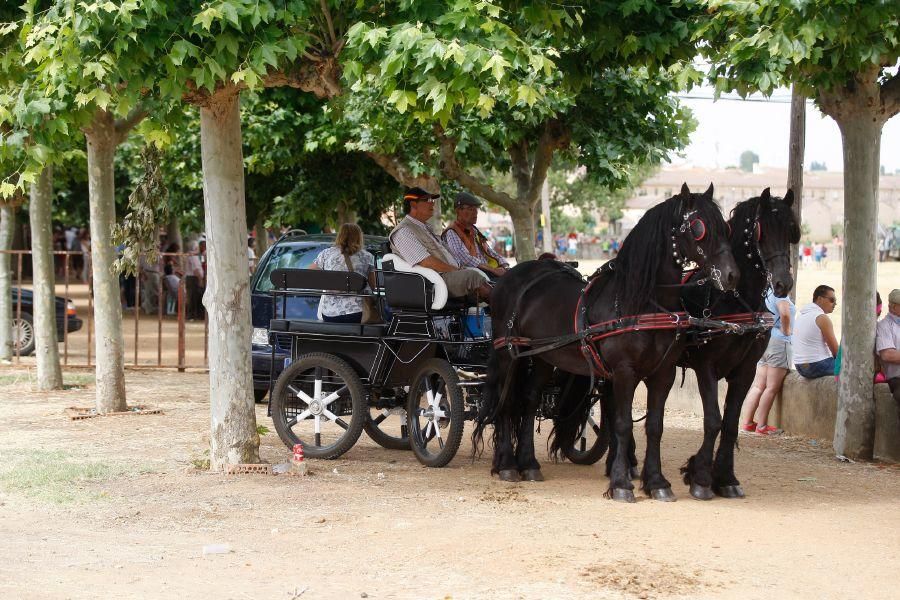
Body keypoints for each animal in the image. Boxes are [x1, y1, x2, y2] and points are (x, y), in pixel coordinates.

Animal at [478, 184, 740, 502]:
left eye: (726, 227)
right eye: (699, 228)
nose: (731, 275)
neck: (642, 302)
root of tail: (510, 277)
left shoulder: (663, 373)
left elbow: (655, 426)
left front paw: (657, 482)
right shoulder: (624, 372)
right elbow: (623, 424)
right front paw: (621, 483)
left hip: (543, 358)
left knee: (528, 401)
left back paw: (528, 464)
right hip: (509, 355)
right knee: (505, 403)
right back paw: (506, 464)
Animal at [680, 190, 800, 500]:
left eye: (791, 230)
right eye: (761, 230)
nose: (783, 283)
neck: (734, 301)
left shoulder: (746, 370)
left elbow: (731, 423)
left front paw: (725, 477)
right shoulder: (706, 367)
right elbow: (713, 419)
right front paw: (700, 477)